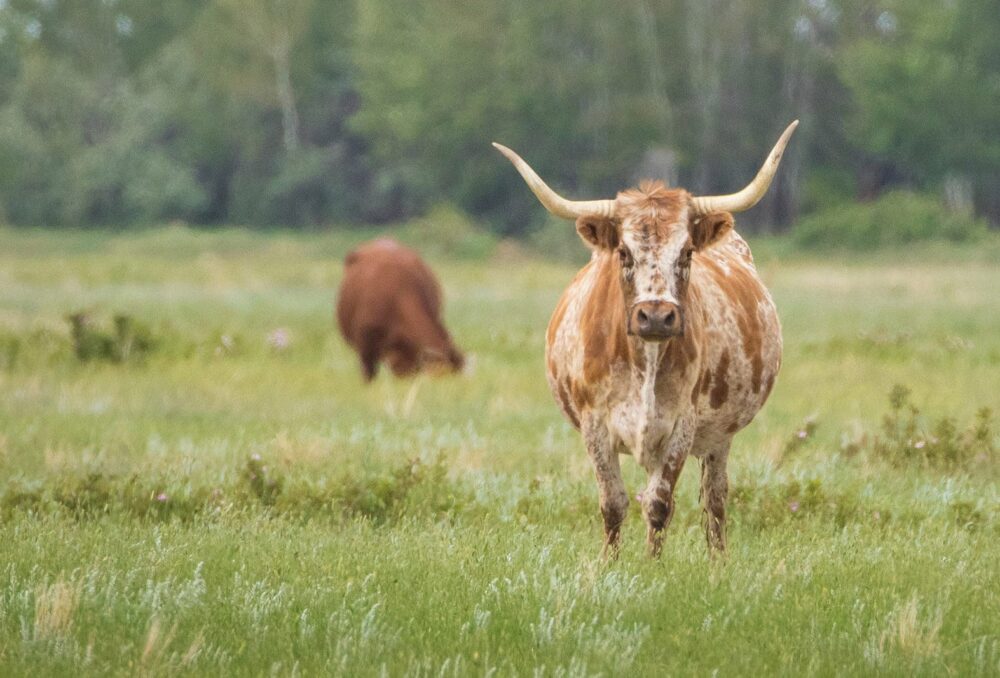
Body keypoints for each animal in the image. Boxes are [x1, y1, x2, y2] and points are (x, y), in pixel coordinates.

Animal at [492, 121, 796, 556]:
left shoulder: (681, 426)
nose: (655, 315)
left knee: (715, 498)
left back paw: (718, 561)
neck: (645, 362)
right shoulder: (595, 427)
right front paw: (609, 563)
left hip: (720, 436)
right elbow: (613, 503)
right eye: (623, 251)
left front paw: (653, 564)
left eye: (686, 252)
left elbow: (658, 503)